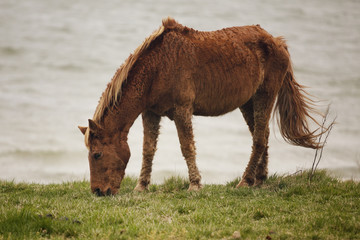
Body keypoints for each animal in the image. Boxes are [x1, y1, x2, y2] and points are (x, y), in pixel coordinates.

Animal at [78, 17, 324, 196]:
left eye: (97, 154)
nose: (98, 191)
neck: (159, 65)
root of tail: (277, 42)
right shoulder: (150, 113)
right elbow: (148, 149)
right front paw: (142, 186)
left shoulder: (182, 110)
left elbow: (187, 147)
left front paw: (195, 185)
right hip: (249, 102)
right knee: (262, 136)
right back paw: (259, 179)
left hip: (265, 96)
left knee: (258, 139)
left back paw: (245, 181)